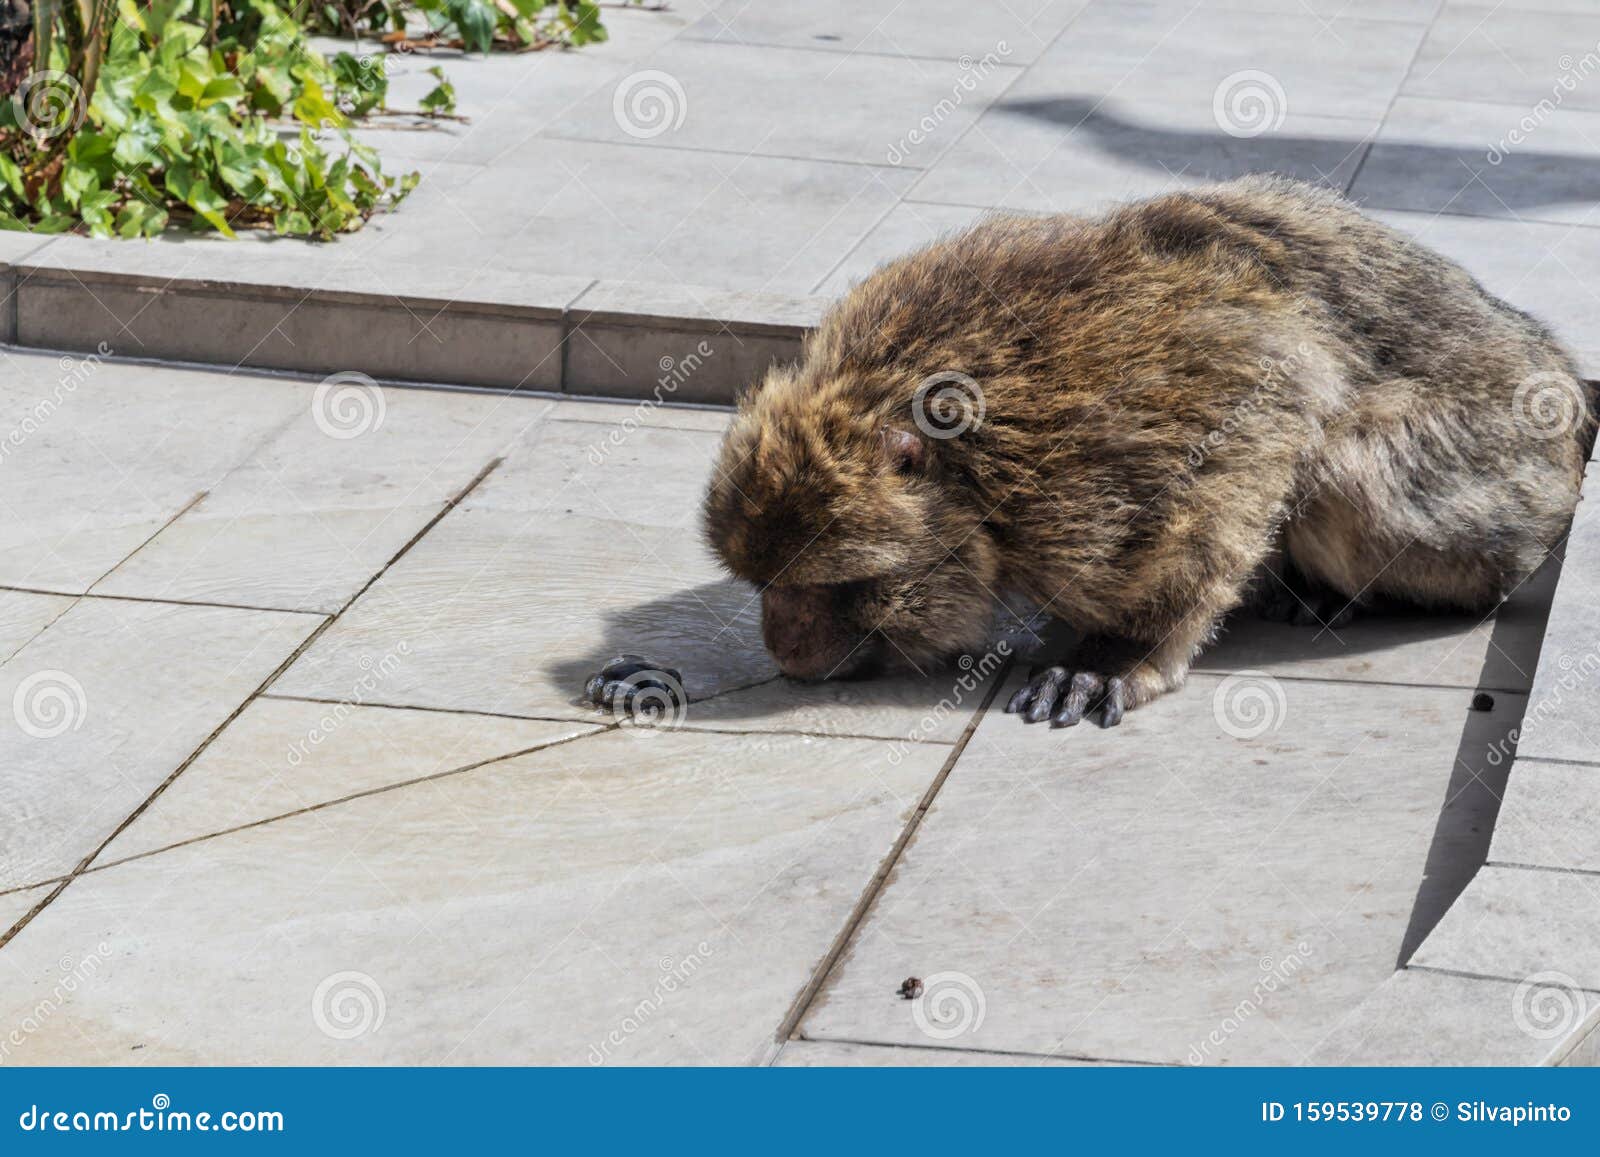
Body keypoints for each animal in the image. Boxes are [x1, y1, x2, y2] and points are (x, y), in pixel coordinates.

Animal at [588, 176, 1593, 729]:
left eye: (828, 585)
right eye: (765, 584)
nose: (785, 643)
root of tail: (1559, 378)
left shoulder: (1105, 457)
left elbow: (1262, 418)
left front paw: (1119, 653)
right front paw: (659, 675)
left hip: (1507, 477)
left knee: (1345, 477)